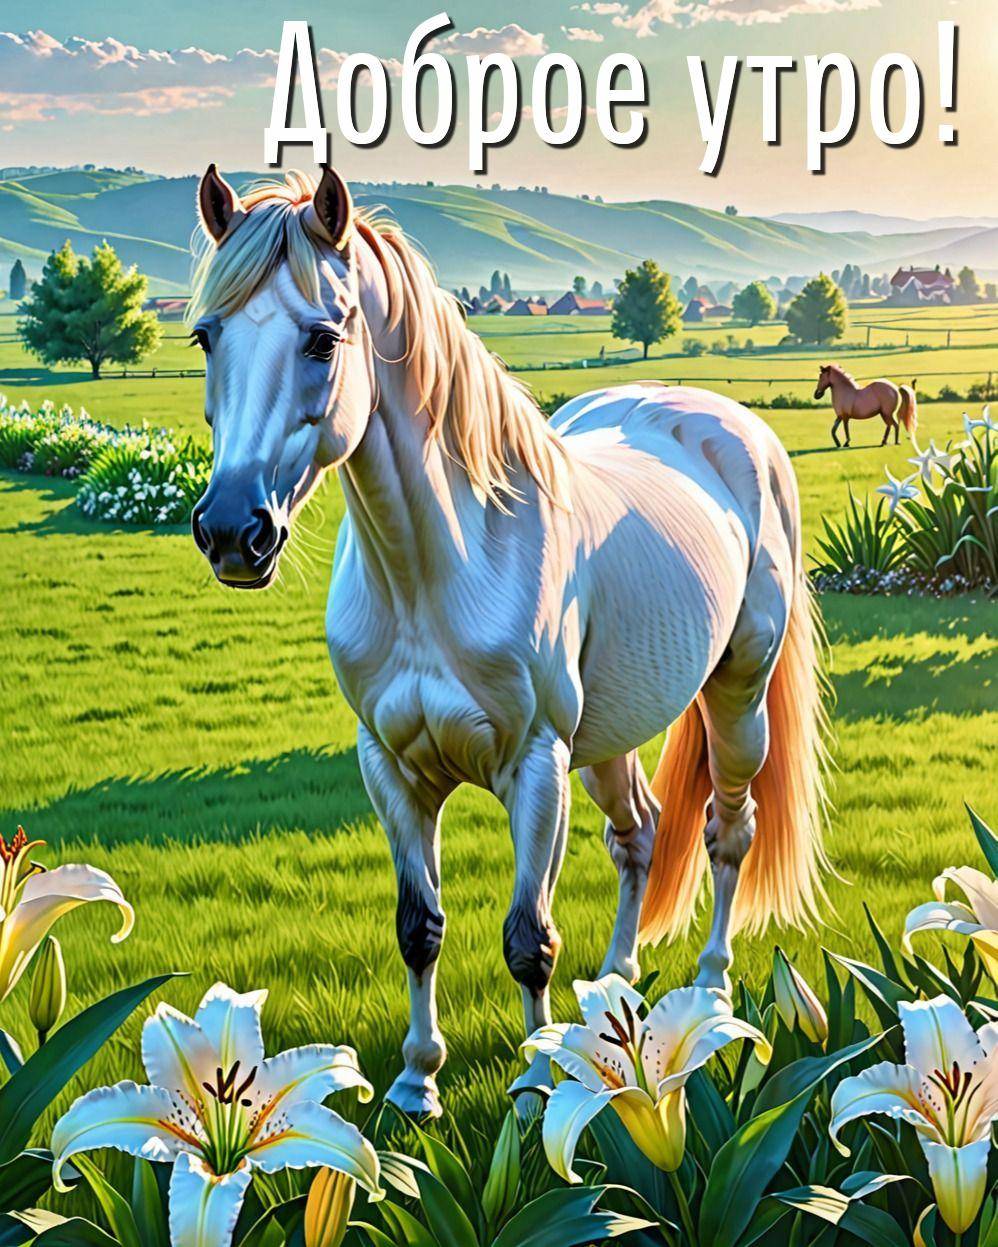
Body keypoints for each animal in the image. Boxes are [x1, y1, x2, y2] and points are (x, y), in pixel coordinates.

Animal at [188, 165, 829, 1118]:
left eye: (322, 339)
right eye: (205, 336)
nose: (234, 531)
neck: (440, 566)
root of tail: (724, 422)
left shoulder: (534, 764)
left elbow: (529, 935)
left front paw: (532, 1082)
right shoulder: (392, 768)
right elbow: (418, 927)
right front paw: (417, 1083)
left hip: (735, 699)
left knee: (727, 831)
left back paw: (712, 991)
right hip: (607, 736)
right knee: (639, 833)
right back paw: (616, 995)